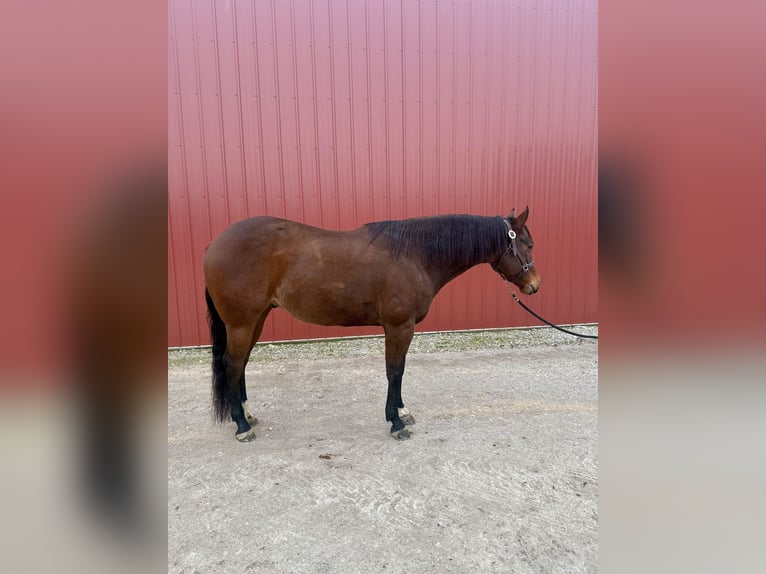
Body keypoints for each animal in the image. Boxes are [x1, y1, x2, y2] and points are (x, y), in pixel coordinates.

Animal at [203, 207, 540, 442]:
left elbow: (400, 371)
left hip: (256, 318)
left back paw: (248, 415)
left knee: (242, 364)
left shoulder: (402, 328)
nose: (534, 286)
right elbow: (395, 371)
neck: (415, 254)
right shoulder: (399, 326)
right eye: (528, 244)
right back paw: (241, 425)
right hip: (241, 322)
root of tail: (215, 243)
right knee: (232, 364)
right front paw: (396, 422)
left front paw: (403, 411)